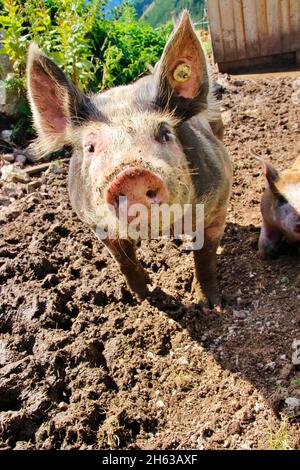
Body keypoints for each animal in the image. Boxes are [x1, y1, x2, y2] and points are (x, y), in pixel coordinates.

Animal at [26, 10, 232, 308]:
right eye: (90, 147)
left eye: (164, 133)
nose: (132, 175)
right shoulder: (96, 224)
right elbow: (125, 263)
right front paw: (143, 297)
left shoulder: (218, 201)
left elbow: (204, 258)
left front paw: (211, 306)